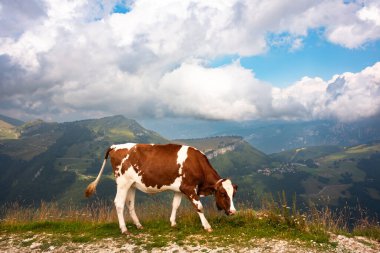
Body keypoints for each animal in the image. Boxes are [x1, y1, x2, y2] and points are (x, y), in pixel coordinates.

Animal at [85, 143, 238, 234]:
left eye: (233, 194)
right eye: (223, 193)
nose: (233, 211)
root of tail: (115, 145)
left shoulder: (179, 189)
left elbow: (175, 205)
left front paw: (173, 223)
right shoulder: (188, 188)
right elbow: (199, 207)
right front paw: (207, 226)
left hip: (131, 184)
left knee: (130, 204)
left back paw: (138, 225)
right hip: (122, 182)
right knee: (119, 203)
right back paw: (124, 229)